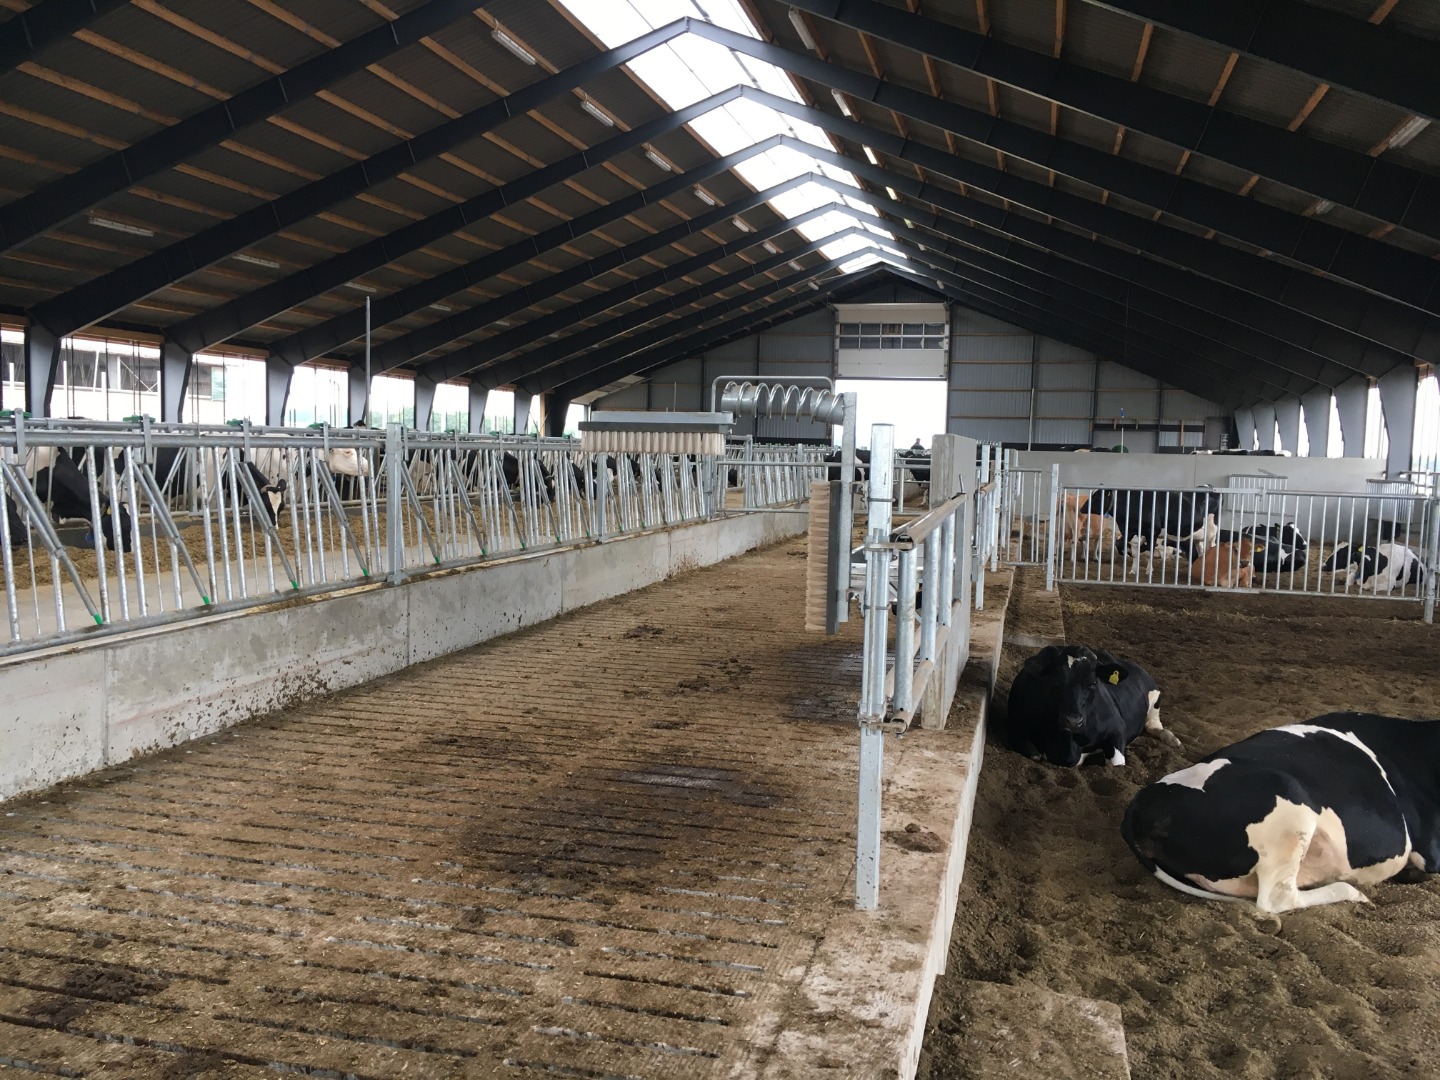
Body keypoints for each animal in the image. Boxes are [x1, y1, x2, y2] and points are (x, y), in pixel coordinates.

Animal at [1005, 645, 1178, 768]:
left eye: (1093, 683)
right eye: (1055, 681)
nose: (1074, 721)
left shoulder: (1117, 728)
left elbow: (1116, 763)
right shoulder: (1016, 726)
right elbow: (1034, 753)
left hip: (1155, 699)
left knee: (1154, 725)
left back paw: (1172, 739)